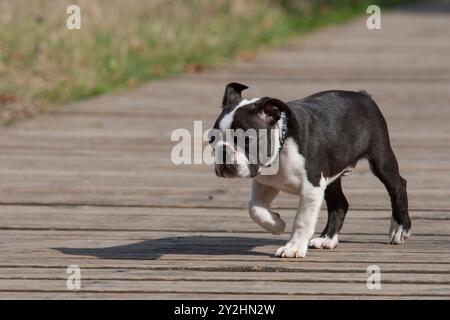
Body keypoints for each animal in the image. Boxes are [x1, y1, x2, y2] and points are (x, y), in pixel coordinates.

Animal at [211, 82, 412, 258]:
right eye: (212, 139)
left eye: (246, 139)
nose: (223, 152)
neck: (281, 147)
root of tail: (362, 95)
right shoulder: (266, 183)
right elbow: (254, 208)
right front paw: (276, 223)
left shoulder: (312, 188)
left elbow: (302, 220)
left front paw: (293, 247)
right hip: (331, 176)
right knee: (339, 204)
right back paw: (327, 239)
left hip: (381, 159)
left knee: (398, 187)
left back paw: (400, 229)